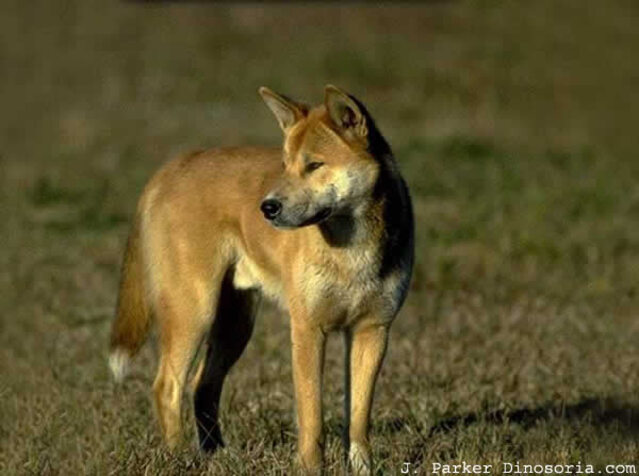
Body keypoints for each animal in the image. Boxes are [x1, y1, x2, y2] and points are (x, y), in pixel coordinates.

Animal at [109, 86, 416, 472]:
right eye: (285, 165)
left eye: (314, 165)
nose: (267, 208)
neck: (352, 250)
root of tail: (167, 171)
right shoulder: (307, 329)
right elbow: (312, 418)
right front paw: (310, 469)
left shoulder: (372, 330)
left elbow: (359, 419)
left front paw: (363, 470)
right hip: (194, 311)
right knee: (168, 386)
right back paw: (180, 459)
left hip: (235, 325)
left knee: (202, 386)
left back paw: (215, 454)